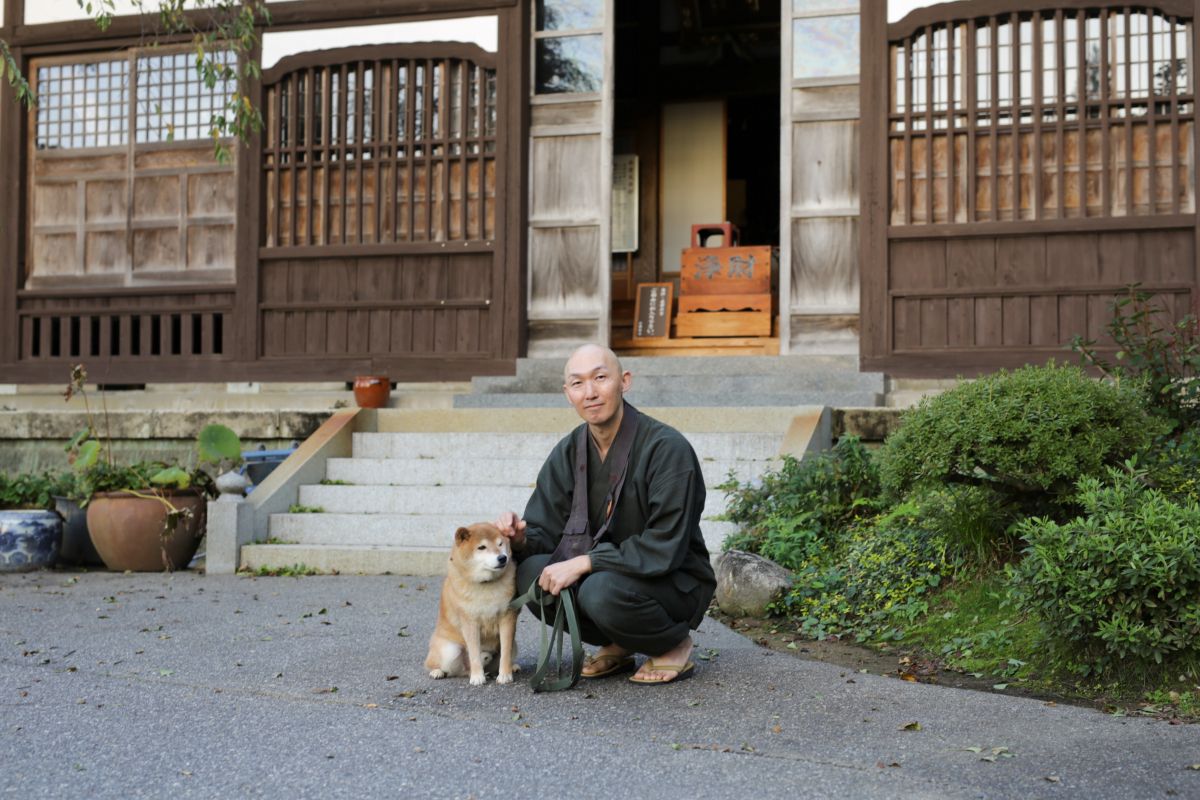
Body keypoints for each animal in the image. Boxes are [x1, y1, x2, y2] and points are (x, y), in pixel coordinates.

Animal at [424, 522, 518, 686]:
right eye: (482, 547)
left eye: (500, 544)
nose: (502, 558)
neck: (486, 584)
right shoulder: (469, 621)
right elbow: (474, 652)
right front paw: (477, 677)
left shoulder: (507, 617)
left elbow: (506, 651)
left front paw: (505, 675)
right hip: (450, 650)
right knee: (444, 666)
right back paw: (438, 672)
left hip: (514, 647)